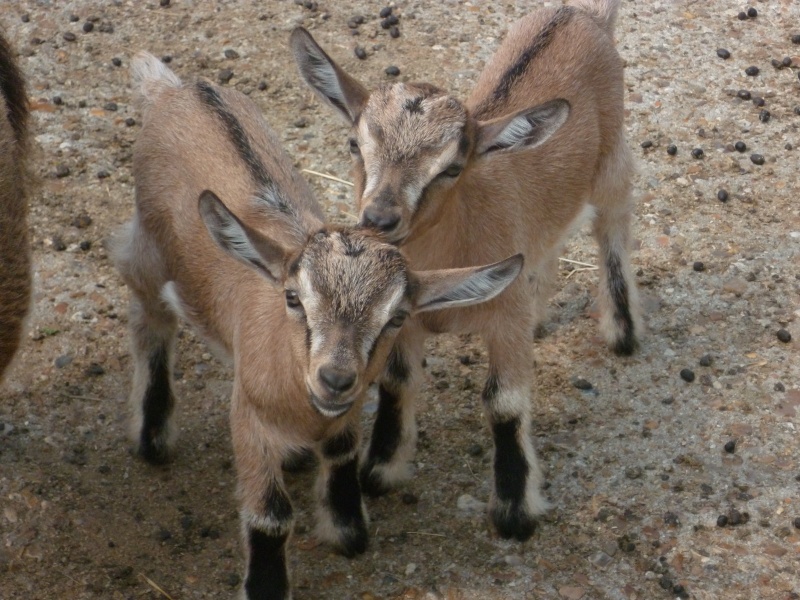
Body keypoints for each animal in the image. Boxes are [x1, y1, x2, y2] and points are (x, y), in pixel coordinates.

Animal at [115, 54, 520, 596]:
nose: (335, 377)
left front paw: (345, 527)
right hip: (149, 250)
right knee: (149, 316)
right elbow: (269, 516)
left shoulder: (343, 416)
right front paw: (267, 586)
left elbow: (344, 457)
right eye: (294, 298)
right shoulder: (250, 422)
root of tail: (177, 89)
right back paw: (153, 432)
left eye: (397, 317)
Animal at [290, 0, 640, 544]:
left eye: (451, 168)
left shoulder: (504, 320)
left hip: (612, 162)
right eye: (354, 145)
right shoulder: (403, 321)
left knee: (613, 227)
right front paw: (381, 470)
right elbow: (397, 381)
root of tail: (579, 14)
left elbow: (505, 402)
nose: (379, 218)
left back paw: (622, 330)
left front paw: (515, 511)